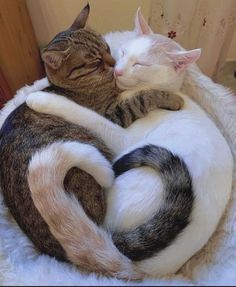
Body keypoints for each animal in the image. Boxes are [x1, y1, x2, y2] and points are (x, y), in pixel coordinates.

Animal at [25, 9, 232, 280]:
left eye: (141, 65)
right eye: (123, 52)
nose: (118, 71)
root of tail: (136, 268)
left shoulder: (119, 133)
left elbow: (85, 114)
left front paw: (39, 98)